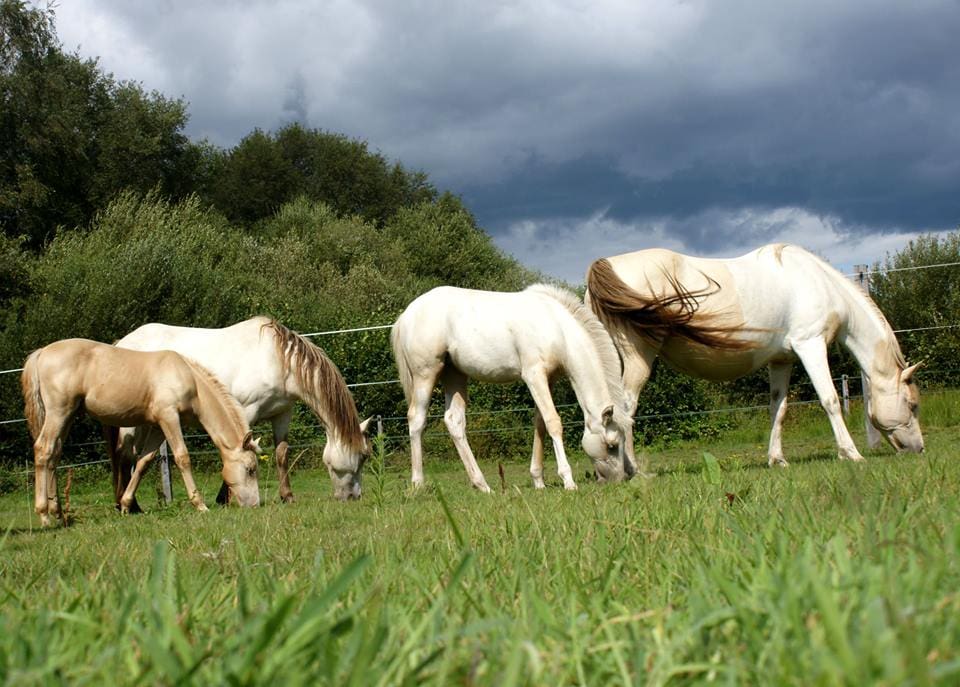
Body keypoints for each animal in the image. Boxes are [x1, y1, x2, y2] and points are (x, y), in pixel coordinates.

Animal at [21, 339, 262, 525]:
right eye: (250, 469)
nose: (255, 505)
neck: (189, 379)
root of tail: (42, 352)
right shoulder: (169, 418)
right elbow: (182, 457)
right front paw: (200, 505)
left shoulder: (158, 426)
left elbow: (144, 462)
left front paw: (127, 505)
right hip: (58, 413)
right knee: (43, 450)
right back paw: (44, 515)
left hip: (67, 416)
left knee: (54, 455)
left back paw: (58, 513)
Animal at [113, 316, 372, 503]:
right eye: (361, 457)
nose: (353, 497)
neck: (277, 360)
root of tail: (121, 343)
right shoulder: (246, 411)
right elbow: (237, 452)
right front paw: (225, 498)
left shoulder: (282, 414)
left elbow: (281, 454)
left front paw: (287, 496)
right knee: (124, 455)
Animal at [391, 284, 634, 491]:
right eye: (612, 445)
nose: (620, 479)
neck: (556, 327)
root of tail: (406, 316)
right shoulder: (533, 375)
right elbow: (553, 422)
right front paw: (568, 481)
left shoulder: (548, 379)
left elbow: (540, 423)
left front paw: (538, 481)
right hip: (425, 374)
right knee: (416, 419)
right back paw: (418, 484)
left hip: (454, 375)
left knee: (454, 421)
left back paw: (483, 485)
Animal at [584, 243, 924, 471]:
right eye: (912, 405)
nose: (919, 449)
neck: (818, 282)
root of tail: (603, 265)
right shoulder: (810, 346)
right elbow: (829, 399)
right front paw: (851, 453)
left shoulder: (782, 360)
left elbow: (778, 408)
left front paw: (777, 459)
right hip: (638, 357)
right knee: (626, 409)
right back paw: (633, 469)